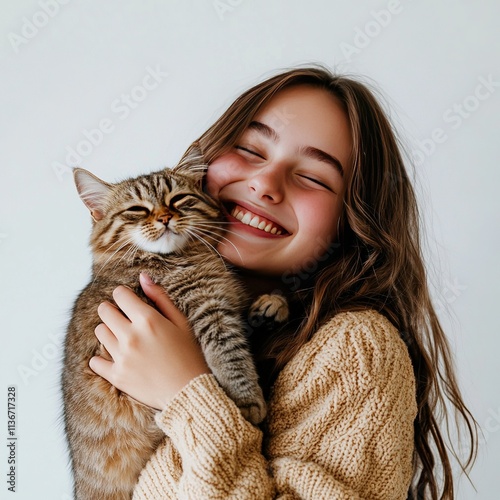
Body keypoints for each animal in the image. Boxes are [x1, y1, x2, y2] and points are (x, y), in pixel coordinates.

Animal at [61, 153, 282, 500]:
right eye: (137, 210)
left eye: (178, 199)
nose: (165, 218)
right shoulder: (209, 311)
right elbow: (231, 357)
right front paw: (248, 403)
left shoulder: (221, 302)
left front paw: (273, 304)